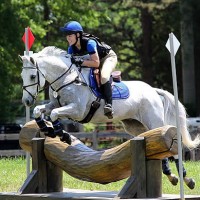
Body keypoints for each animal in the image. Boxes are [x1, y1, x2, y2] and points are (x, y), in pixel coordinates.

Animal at [19, 46, 198, 188]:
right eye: (22, 76)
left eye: (33, 76)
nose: (26, 101)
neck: (66, 79)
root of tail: (153, 90)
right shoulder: (53, 104)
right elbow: (39, 111)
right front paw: (46, 128)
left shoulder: (77, 110)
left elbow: (55, 114)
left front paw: (63, 135)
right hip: (135, 126)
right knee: (155, 144)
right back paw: (172, 176)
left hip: (153, 121)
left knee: (170, 145)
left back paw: (186, 179)